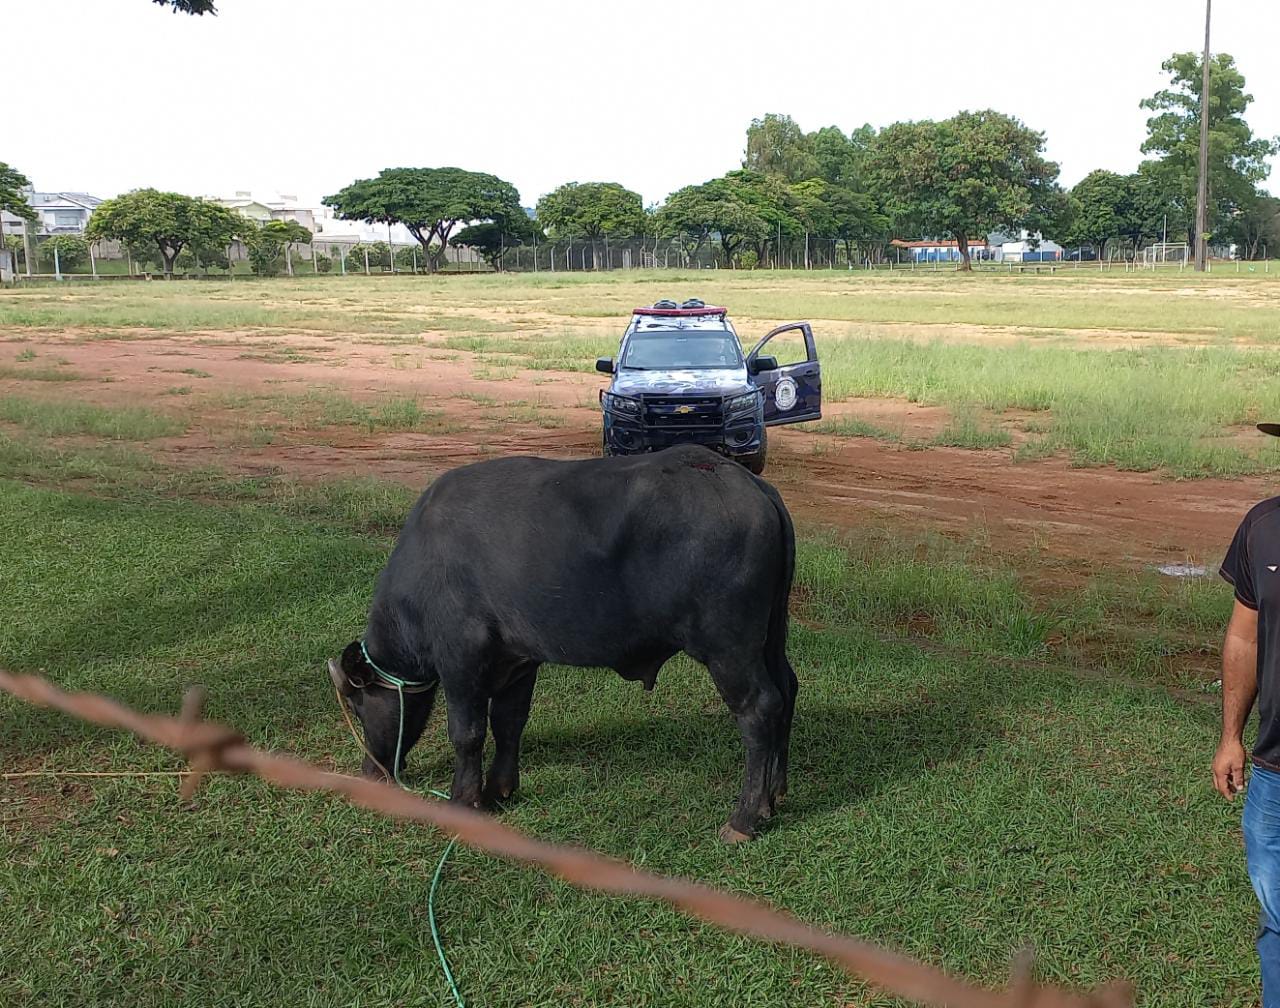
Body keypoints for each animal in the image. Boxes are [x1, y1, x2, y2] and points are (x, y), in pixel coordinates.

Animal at [329, 443, 797, 841]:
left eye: (358, 703)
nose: (371, 770)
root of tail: (750, 484)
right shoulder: (517, 660)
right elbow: (509, 721)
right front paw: (500, 788)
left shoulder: (461, 658)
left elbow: (467, 732)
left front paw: (465, 800)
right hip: (770, 637)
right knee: (787, 690)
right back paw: (773, 795)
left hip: (728, 648)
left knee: (758, 708)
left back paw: (744, 818)